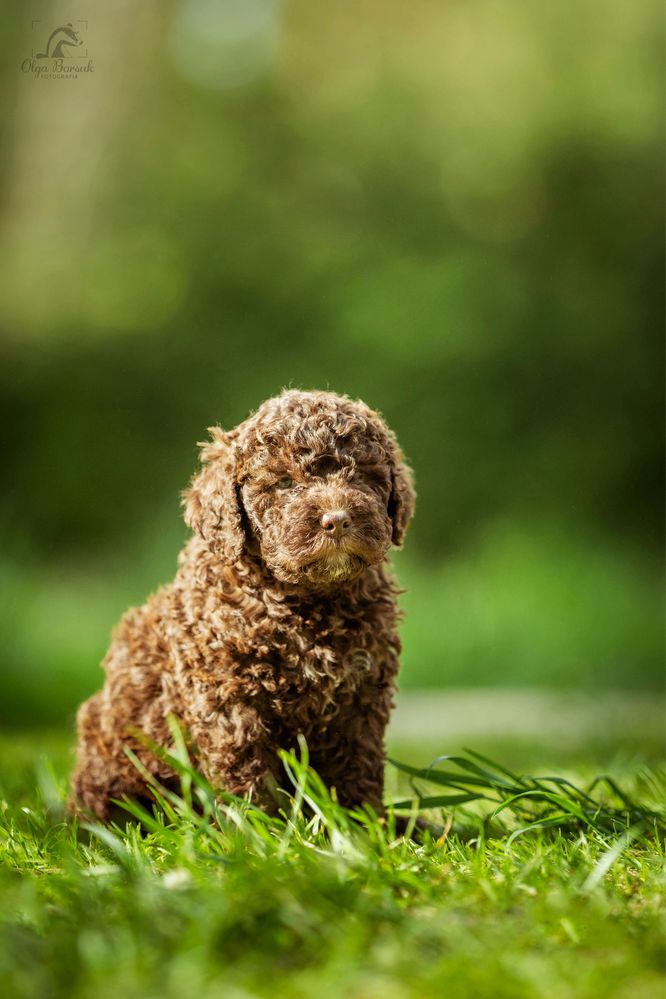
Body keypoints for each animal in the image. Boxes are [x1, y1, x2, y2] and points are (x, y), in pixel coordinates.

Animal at [72, 390, 416, 820]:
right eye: (284, 482)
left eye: (363, 476)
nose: (336, 520)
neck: (304, 602)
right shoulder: (228, 694)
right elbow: (244, 769)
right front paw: (254, 827)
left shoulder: (361, 692)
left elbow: (358, 763)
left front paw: (365, 824)